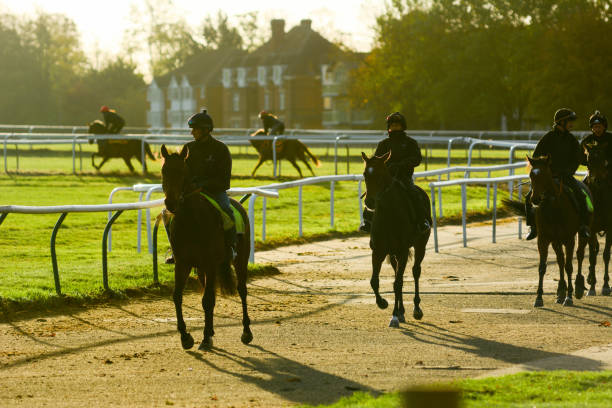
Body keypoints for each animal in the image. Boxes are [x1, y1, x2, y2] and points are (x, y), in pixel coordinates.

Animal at [160, 144, 253, 350]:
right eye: (164, 171)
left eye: (183, 172)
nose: (171, 203)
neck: (192, 221)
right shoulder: (183, 263)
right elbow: (177, 296)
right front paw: (186, 337)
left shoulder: (211, 263)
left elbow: (208, 300)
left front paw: (203, 337)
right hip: (201, 269)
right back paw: (209, 332)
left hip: (240, 259)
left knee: (241, 290)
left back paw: (246, 332)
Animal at [364, 151, 430, 326]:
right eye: (365, 174)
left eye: (380, 174)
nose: (369, 202)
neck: (389, 214)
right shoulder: (378, 252)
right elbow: (375, 281)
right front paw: (383, 303)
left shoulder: (402, 251)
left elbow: (398, 283)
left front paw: (394, 315)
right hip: (392, 253)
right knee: (396, 273)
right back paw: (401, 311)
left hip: (420, 245)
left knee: (415, 271)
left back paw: (416, 309)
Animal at [504, 156, 584, 306]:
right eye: (531, 175)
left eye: (545, 174)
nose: (535, 199)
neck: (554, 209)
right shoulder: (544, 239)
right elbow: (542, 267)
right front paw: (539, 297)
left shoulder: (569, 239)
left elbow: (569, 266)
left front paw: (569, 297)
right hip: (555, 241)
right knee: (560, 260)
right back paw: (560, 292)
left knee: (577, 256)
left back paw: (576, 288)